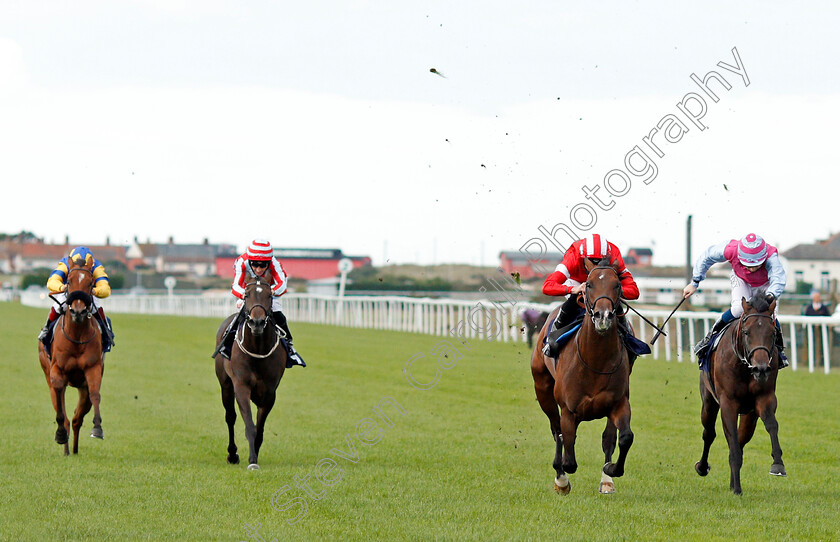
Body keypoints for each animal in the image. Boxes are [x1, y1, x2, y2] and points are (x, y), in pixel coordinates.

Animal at [38, 258, 104, 456]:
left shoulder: (93, 368)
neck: (77, 335)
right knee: (65, 415)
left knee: (76, 419)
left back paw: (73, 450)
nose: (78, 311)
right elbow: (60, 404)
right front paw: (60, 434)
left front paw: (97, 428)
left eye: (90, 283)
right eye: (69, 281)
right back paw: (66, 446)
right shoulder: (57, 370)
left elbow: (95, 394)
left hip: (82, 388)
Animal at [213, 278, 288, 470]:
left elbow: (260, 428)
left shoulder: (269, 393)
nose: (257, 322)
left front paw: (254, 457)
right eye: (246, 295)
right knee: (230, 417)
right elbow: (249, 426)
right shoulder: (241, 386)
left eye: (269, 295)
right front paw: (252, 460)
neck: (257, 348)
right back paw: (232, 454)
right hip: (225, 385)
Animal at [532, 260, 632, 498]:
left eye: (617, 285)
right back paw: (560, 479)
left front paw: (610, 471)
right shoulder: (569, 410)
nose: (603, 316)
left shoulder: (619, 403)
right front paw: (562, 479)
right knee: (557, 431)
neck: (595, 360)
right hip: (543, 390)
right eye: (588, 284)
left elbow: (623, 438)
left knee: (608, 438)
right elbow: (568, 456)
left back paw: (606, 480)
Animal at [692, 296, 784, 496]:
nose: (761, 369)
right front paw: (737, 490)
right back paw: (702, 467)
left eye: (773, 333)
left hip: (749, 416)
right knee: (709, 433)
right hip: (708, 402)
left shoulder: (765, 398)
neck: (744, 366)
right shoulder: (728, 403)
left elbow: (772, 425)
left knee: (741, 440)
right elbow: (731, 441)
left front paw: (778, 464)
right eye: (747, 332)